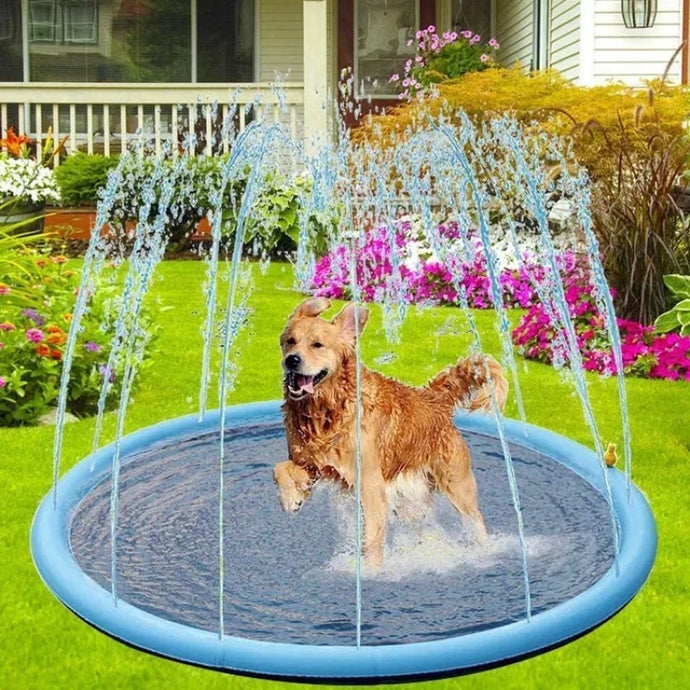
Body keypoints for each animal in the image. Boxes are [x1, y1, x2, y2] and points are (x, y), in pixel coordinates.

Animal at [272, 296, 506, 564]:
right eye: (291, 341)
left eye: (317, 345)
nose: (292, 360)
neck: (327, 409)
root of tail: (434, 398)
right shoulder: (314, 464)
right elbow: (280, 468)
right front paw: (292, 499)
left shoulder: (370, 484)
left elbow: (372, 538)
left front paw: (371, 569)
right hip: (409, 497)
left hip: (456, 483)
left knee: (475, 519)